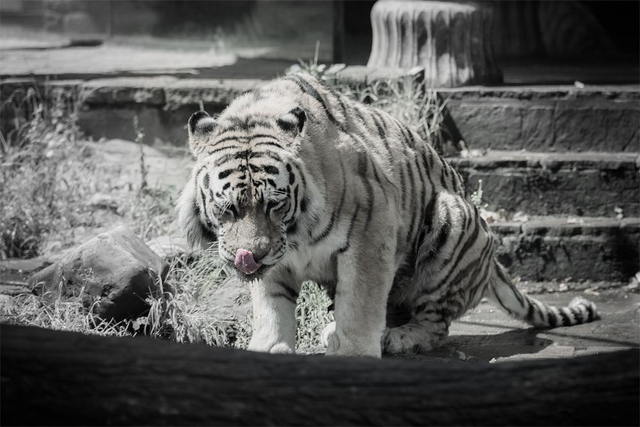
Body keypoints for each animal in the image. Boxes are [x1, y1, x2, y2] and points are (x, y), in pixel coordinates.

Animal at [177, 72, 598, 358]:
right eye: (228, 209)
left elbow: (361, 302)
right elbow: (271, 306)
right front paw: (267, 349)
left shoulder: (371, 230)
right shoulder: (276, 260)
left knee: (435, 324)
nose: (251, 256)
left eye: (275, 204)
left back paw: (397, 337)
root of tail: (493, 259)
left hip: (449, 221)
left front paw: (354, 353)